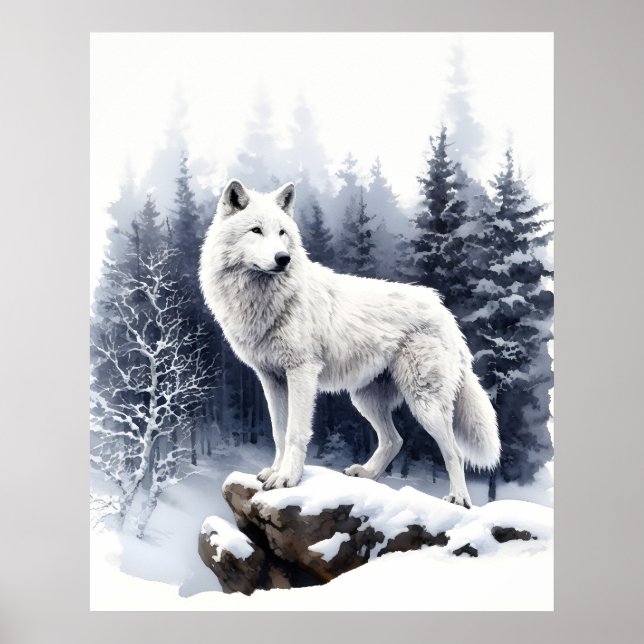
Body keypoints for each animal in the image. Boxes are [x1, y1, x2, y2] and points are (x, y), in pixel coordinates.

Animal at [199, 179, 500, 507]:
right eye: (255, 230)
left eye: (282, 233)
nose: (283, 259)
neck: (264, 299)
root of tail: (446, 313)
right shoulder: (271, 378)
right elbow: (279, 432)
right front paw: (274, 472)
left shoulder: (302, 372)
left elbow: (295, 433)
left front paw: (287, 479)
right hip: (365, 399)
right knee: (395, 440)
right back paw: (366, 475)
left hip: (424, 402)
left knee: (453, 451)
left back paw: (459, 499)